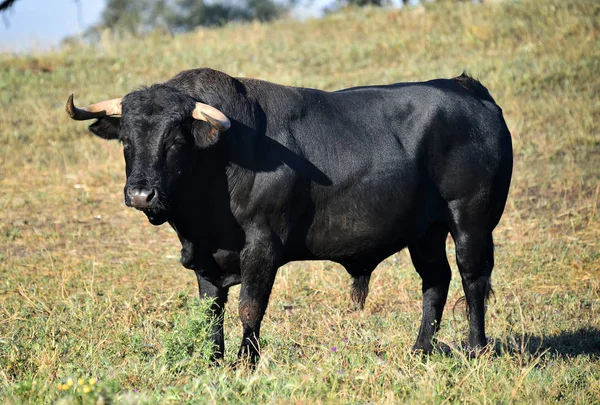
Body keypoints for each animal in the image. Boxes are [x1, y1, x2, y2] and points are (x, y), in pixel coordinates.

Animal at [68, 68, 512, 362]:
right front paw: (213, 360)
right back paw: (420, 350)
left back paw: (477, 349)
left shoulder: (262, 247)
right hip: (426, 231)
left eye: (176, 140)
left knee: (473, 279)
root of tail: (465, 87)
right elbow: (211, 311)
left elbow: (250, 306)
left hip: (471, 221)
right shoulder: (206, 258)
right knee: (436, 281)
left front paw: (246, 364)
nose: (141, 194)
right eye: (126, 141)